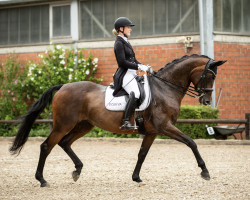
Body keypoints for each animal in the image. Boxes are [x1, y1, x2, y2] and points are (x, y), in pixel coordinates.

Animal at [9, 54, 227, 187]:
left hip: (84, 125)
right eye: (209, 76)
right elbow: (192, 142)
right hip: (63, 124)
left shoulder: (152, 131)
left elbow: (142, 154)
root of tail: (63, 86)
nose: (206, 101)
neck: (165, 89)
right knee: (47, 146)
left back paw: (77, 170)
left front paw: (136, 177)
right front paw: (205, 171)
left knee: (65, 143)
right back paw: (42, 179)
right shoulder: (165, 127)